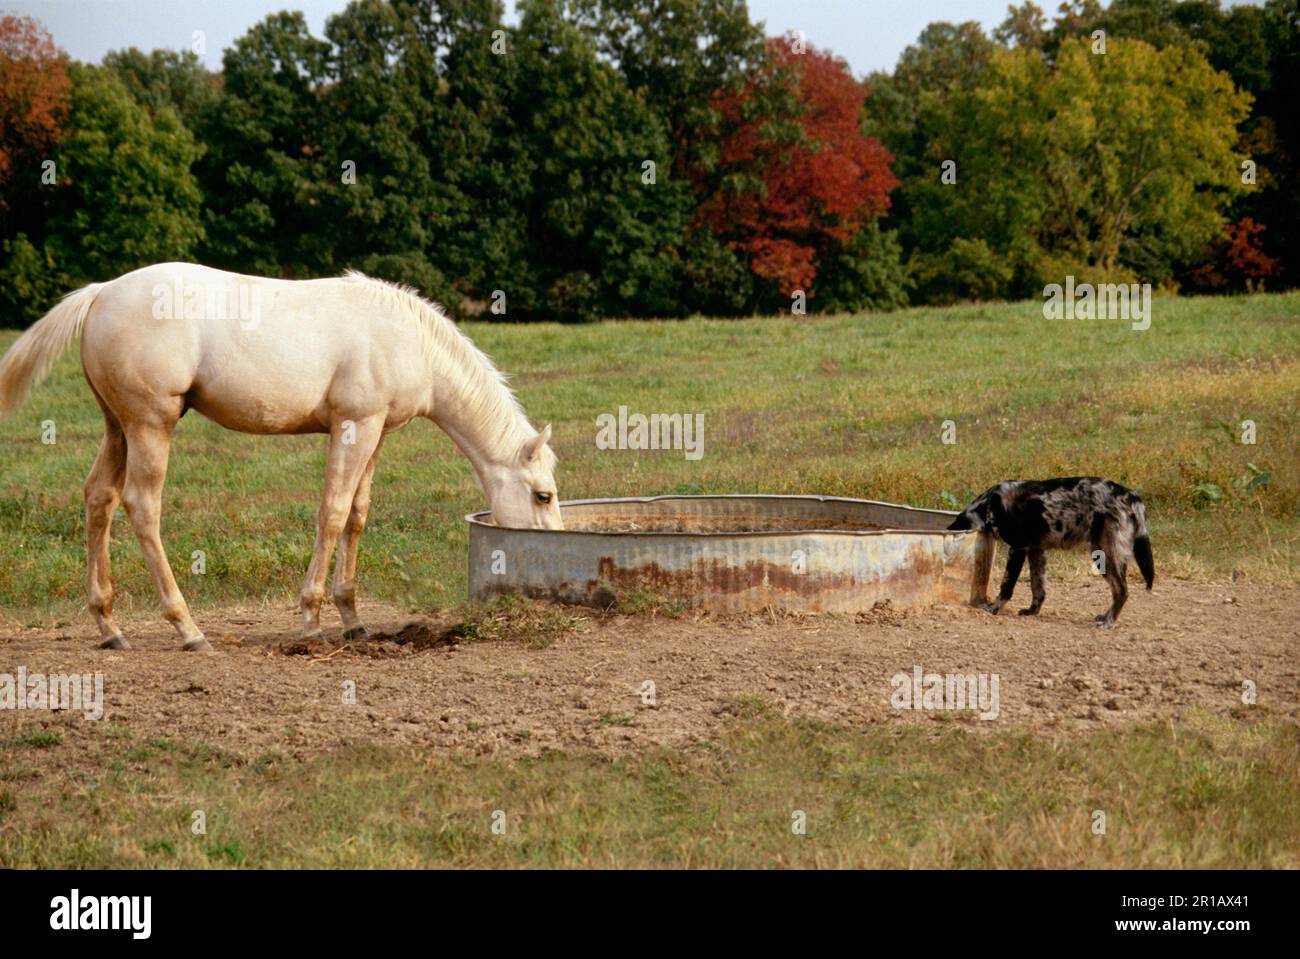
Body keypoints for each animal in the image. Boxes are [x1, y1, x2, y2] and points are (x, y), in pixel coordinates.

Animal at [0, 261, 561, 649]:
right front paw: (312, 620)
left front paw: (353, 619)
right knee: (142, 506)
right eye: (542, 495)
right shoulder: (353, 427)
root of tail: (100, 293)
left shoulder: (376, 433)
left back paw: (109, 625)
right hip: (149, 426)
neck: (409, 340)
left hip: (117, 427)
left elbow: (356, 515)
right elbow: (332, 513)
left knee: (100, 497)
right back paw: (187, 628)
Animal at [951, 475, 1154, 623]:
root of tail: (1131, 495)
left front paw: (994, 608)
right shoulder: (1036, 551)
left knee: (1121, 590)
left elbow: (1006, 586)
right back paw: (1106, 616)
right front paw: (1032, 611)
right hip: (1116, 558)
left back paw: (1108, 621)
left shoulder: (1017, 549)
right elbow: (1038, 589)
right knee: (1119, 590)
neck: (989, 506)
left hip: (1103, 554)